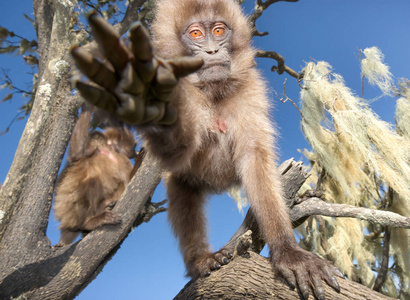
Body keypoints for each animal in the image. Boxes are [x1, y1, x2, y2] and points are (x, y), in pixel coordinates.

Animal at [53, 106, 137, 246]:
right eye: (132, 146)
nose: (134, 152)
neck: (109, 149)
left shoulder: (122, 159)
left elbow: (128, 183)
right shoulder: (95, 138)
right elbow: (77, 155)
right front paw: (87, 107)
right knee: (89, 177)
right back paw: (87, 223)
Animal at [71, 1, 342, 298]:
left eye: (219, 30)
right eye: (196, 34)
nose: (212, 51)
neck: (213, 91)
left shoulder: (250, 89)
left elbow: (254, 158)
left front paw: (287, 250)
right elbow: (176, 156)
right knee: (181, 189)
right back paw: (199, 260)